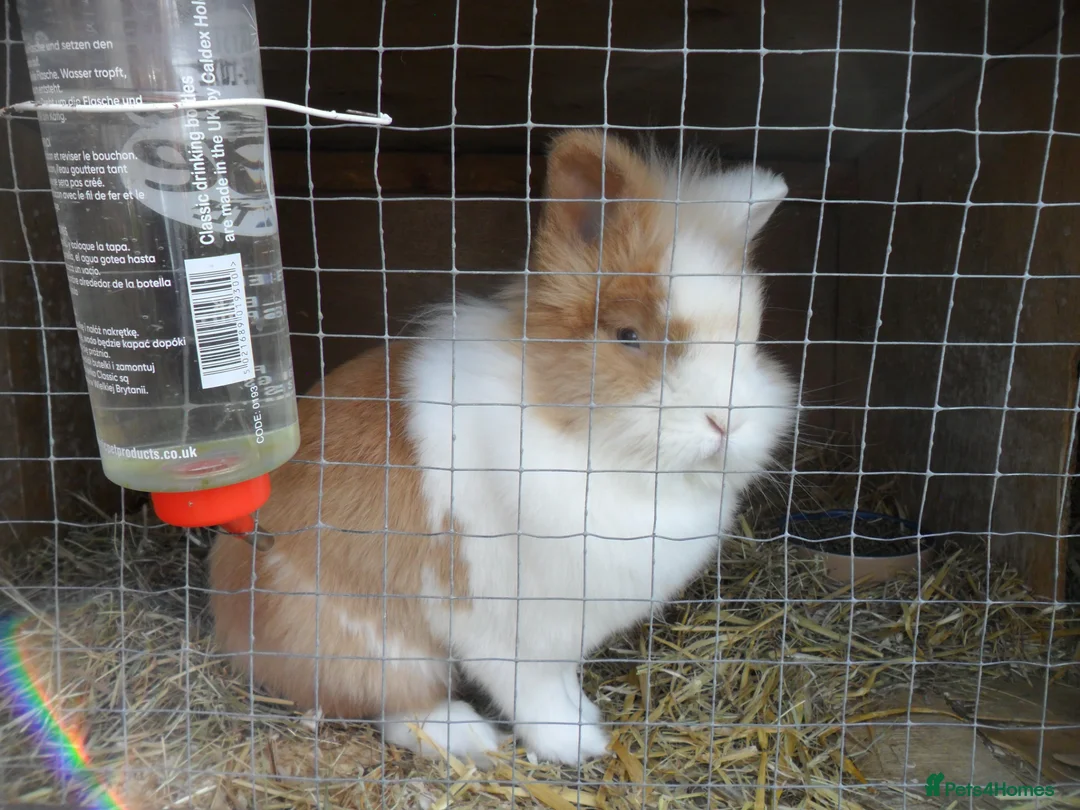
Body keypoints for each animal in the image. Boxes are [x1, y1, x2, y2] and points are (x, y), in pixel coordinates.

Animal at [209, 129, 795, 766]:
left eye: (750, 340)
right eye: (628, 336)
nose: (727, 422)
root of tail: (229, 615)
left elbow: (559, 681)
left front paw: (586, 720)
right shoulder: (503, 620)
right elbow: (531, 690)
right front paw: (577, 743)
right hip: (374, 642)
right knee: (392, 706)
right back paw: (467, 735)